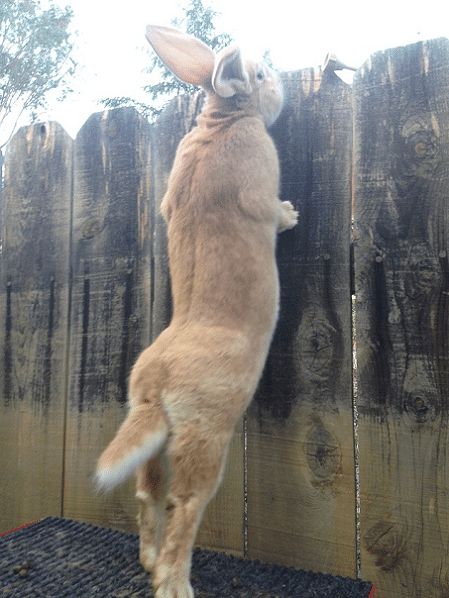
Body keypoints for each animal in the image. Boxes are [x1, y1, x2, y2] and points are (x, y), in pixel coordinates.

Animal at [95, 25, 298, 598]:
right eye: (261, 73)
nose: (282, 84)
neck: (225, 118)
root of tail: (156, 385)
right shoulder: (259, 184)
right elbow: (269, 209)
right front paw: (291, 215)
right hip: (207, 437)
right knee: (184, 505)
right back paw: (174, 583)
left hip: (157, 442)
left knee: (147, 494)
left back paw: (147, 561)